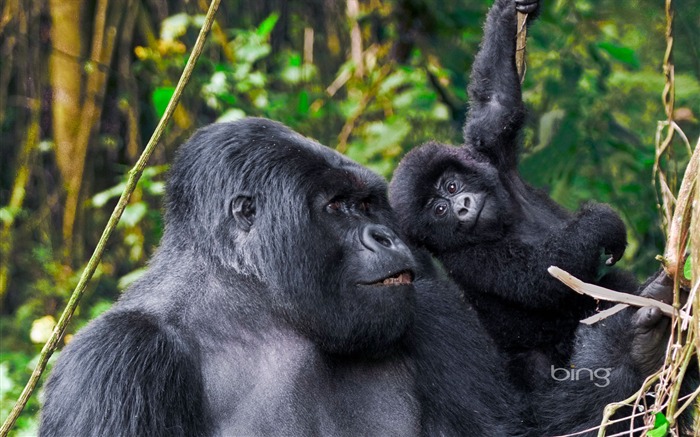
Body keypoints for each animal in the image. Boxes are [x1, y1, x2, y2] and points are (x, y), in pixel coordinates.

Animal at [39, 116, 672, 436]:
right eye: (338, 207)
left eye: (369, 204)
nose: (386, 238)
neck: (253, 304)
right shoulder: (118, 359)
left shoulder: (429, 304)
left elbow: (512, 432)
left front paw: (632, 349)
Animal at [388, 0, 636, 384]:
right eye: (439, 211)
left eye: (452, 186)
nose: (462, 207)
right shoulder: (467, 257)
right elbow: (538, 276)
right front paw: (601, 224)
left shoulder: (489, 156)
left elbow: (496, 107)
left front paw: (511, 12)